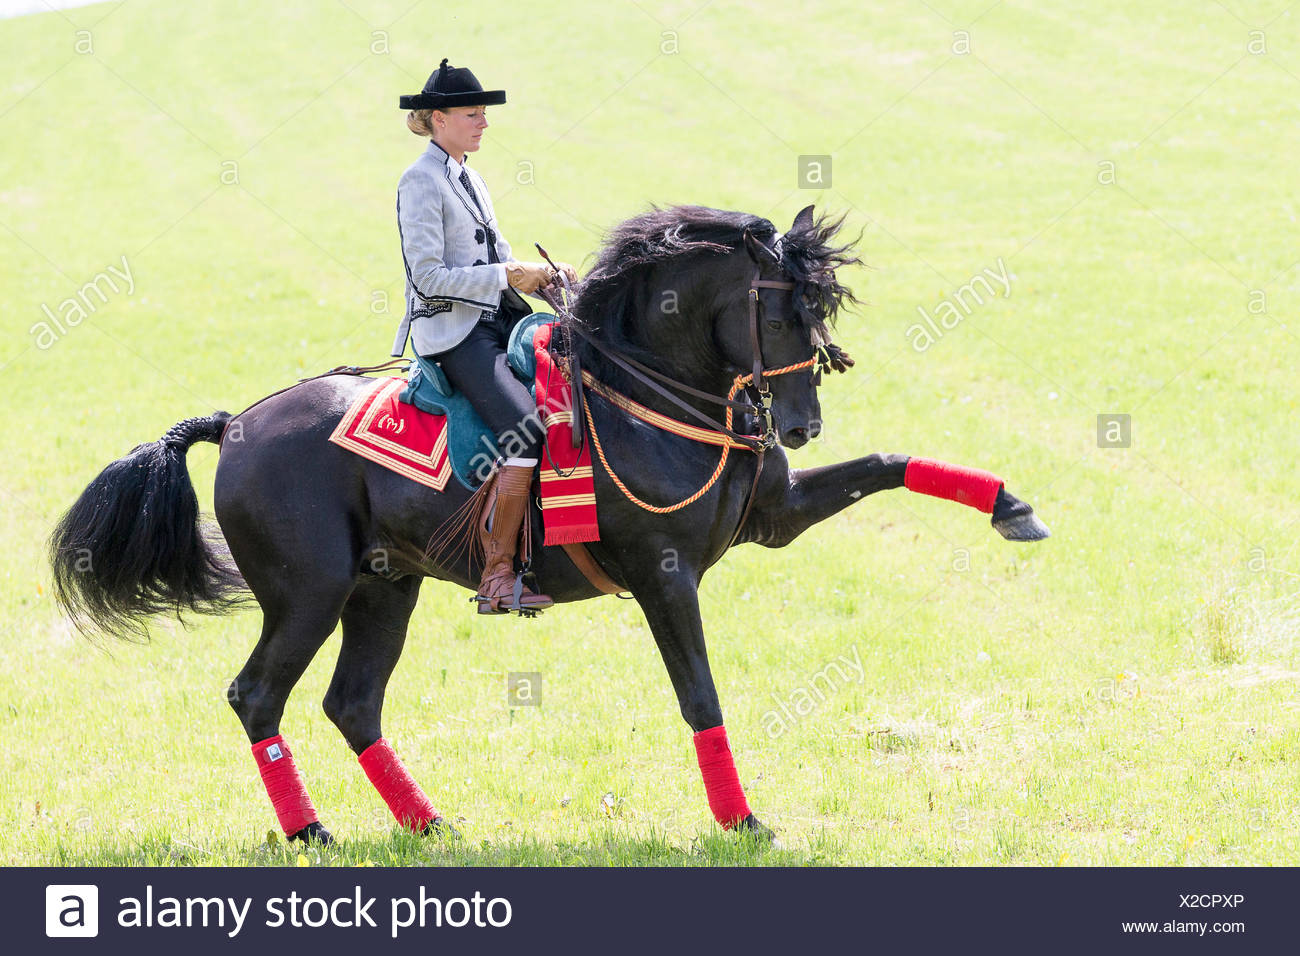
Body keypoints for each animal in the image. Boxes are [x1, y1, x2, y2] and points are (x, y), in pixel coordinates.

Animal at [49, 203, 1048, 844]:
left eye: (823, 306)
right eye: (781, 308)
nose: (798, 425)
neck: (655, 391)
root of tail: (238, 426)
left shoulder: (775, 517)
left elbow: (887, 465)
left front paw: (1012, 507)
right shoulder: (665, 571)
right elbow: (701, 695)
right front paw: (741, 820)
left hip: (385, 588)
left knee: (351, 703)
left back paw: (428, 823)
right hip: (310, 594)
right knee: (259, 696)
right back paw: (312, 833)